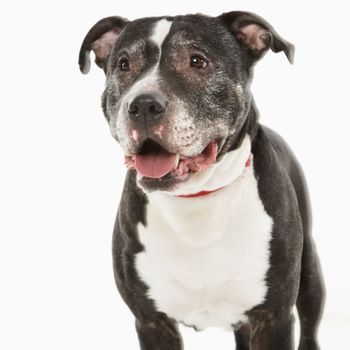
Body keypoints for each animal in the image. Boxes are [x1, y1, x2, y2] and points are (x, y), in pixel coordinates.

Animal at [79, 10, 326, 350]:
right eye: (124, 64)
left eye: (197, 61)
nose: (143, 105)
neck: (196, 201)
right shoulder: (152, 321)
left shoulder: (273, 317)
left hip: (310, 275)